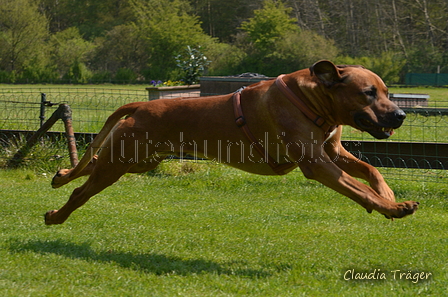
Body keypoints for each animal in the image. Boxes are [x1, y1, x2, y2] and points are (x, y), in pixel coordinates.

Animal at [43, 60, 418, 224]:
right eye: (368, 93)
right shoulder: (316, 162)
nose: (400, 115)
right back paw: (57, 216)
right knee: (82, 191)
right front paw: (392, 207)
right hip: (123, 160)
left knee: (89, 166)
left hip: (138, 160)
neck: (313, 100)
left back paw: (61, 175)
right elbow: (358, 188)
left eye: (386, 92)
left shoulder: (332, 151)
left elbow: (371, 171)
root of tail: (143, 105)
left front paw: (388, 196)